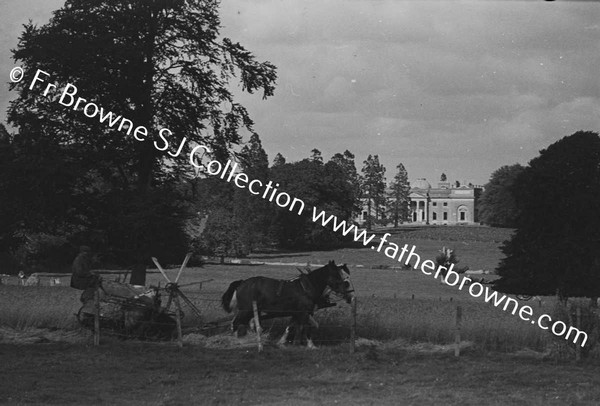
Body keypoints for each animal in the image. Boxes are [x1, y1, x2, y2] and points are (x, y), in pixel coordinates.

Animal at [220, 262, 352, 348]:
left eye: (345, 277)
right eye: (337, 276)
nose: (349, 295)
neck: (306, 288)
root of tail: (242, 283)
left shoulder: (297, 313)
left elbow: (292, 327)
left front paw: (286, 342)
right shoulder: (304, 313)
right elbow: (306, 328)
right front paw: (311, 345)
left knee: (243, 322)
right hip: (245, 310)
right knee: (235, 323)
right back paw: (237, 342)